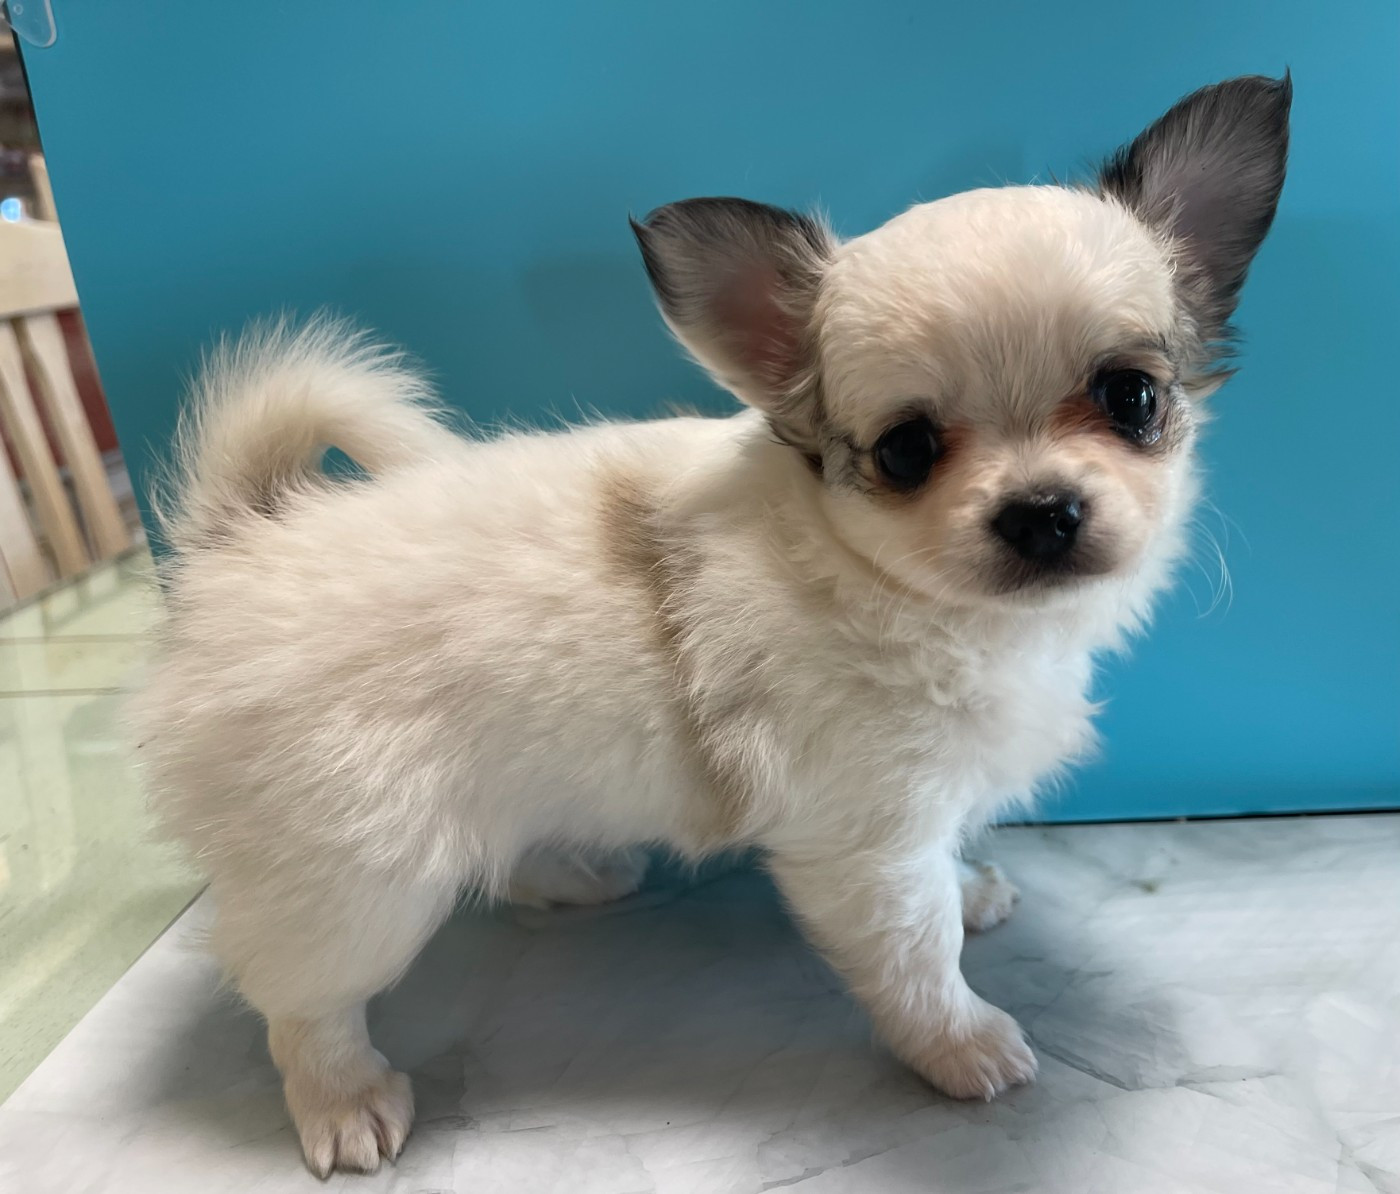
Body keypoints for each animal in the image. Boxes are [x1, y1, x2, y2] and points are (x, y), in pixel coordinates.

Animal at [132, 74, 1289, 1176]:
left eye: (1131, 397)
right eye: (907, 452)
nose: (1041, 510)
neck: (898, 593)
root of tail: (239, 544)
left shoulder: (913, 812)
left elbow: (940, 881)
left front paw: (968, 893)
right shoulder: (864, 844)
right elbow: (915, 956)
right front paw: (962, 1044)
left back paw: (572, 876)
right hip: (359, 877)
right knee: (304, 1006)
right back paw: (344, 1102)